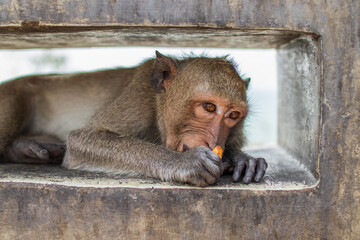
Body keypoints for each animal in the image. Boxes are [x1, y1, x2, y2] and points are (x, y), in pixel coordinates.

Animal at [0, 51, 268, 188]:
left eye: (233, 115)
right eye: (209, 107)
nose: (214, 141)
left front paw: (242, 159)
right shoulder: (139, 96)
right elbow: (83, 139)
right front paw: (185, 162)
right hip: (13, 93)